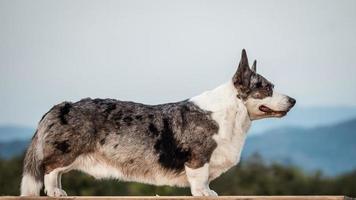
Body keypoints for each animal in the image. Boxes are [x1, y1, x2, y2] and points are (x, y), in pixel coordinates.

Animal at [20, 49, 296, 196]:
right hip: (67, 151)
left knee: (54, 172)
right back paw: (55, 192)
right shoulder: (198, 158)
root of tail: (59, 106)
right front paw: (203, 194)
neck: (231, 112)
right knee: (49, 170)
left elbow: (206, 180)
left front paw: (210, 192)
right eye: (267, 88)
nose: (293, 100)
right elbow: (200, 179)